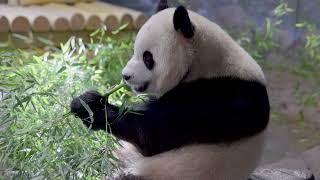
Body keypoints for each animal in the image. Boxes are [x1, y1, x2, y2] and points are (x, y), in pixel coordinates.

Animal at [70, 0, 270, 179]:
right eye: (134, 51)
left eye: (147, 58)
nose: (125, 76)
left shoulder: (221, 97)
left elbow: (150, 134)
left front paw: (91, 105)